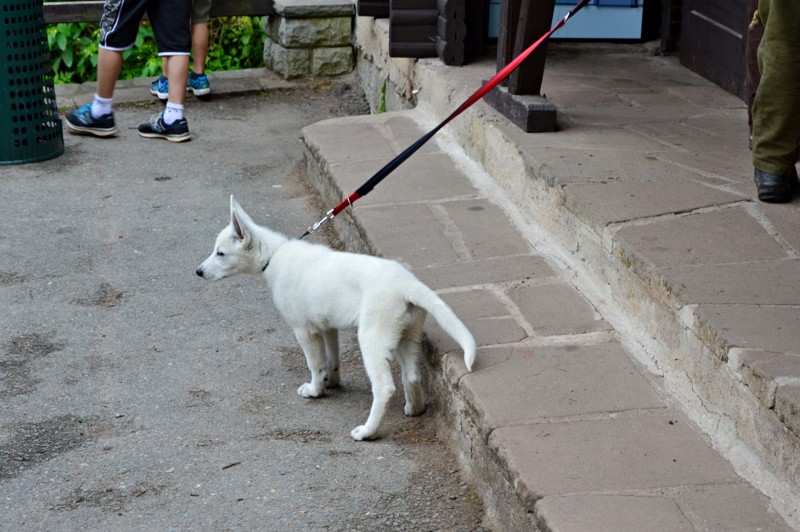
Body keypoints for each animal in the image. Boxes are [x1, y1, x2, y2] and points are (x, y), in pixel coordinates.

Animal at [198, 195, 478, 440]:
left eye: (220, 253)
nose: (198, 272)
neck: (274, 256)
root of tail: (406, 283)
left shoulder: (304, 330)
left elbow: (315, 363)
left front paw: (315, 390)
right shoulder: (326, 326)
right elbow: (331, 360)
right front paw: (329, 382)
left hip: (372, 339)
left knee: (384, 387)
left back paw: (368, 431)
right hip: (406, 337)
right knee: (411, 376)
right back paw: (414, 409)